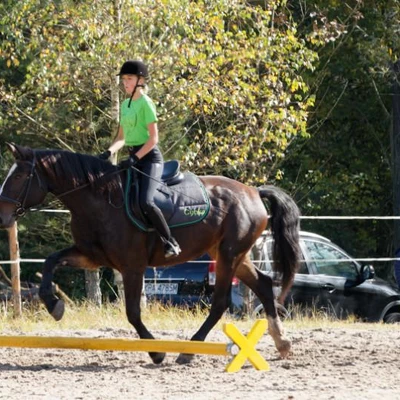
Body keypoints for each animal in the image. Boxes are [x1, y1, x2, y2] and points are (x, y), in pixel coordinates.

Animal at [0, 143, 300, 362]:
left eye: (19, 176)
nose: (3, 217)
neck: (99, 200)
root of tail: (253, 191)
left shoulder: (132, 266)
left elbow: (132, 312)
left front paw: (156, 352)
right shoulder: (91, 257)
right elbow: (50, 262)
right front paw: (54, 305)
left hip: (229, 255)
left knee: (220, 303)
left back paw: (189, 351)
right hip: (231, 254)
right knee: (263, 284)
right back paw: (283, 343)